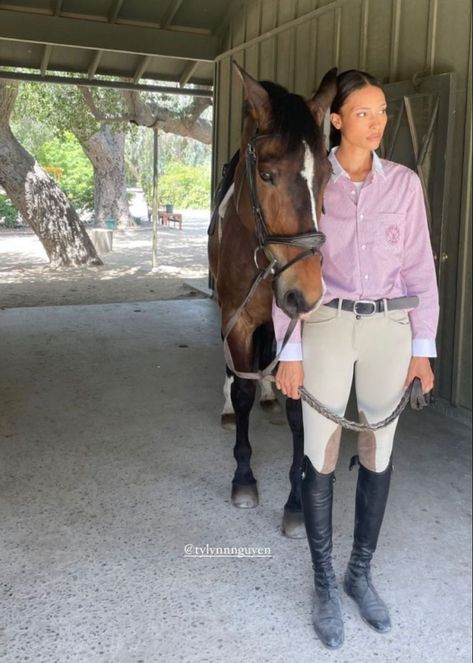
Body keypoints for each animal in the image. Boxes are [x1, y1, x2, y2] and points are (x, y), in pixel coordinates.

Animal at [208, 63, 338, 540]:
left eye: (327, 176)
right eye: (266, 175)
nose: (307, 292)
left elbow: (301, 411)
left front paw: (297, 504)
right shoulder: (239, 317)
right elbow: (242, 386)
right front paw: (244, 479)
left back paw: (268, 393)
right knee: (234, 368)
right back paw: (230, 405)